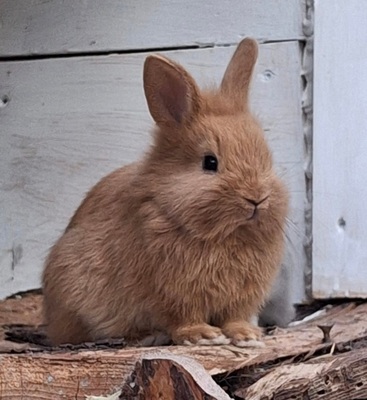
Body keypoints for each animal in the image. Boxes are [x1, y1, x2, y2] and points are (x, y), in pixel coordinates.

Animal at [42, 39, 290, 348]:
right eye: (210, 162)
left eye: (266, 157)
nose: (257, 198)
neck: (225, 236)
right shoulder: (173, 293)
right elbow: (183, 317)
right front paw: (203, 335)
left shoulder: (241, 298)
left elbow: (235, 316)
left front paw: (246, 335)